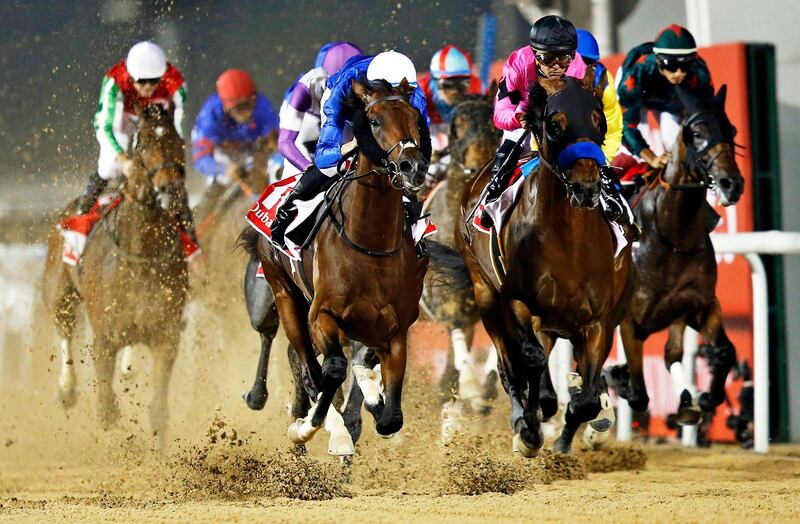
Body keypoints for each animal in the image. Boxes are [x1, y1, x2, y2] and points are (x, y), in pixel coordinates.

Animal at [44, 104, 191, 448]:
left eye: (179, 142)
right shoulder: (103, 339)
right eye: (144, 145)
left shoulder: (166, 335)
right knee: (65, 329)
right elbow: (107, 411)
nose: (171, 190)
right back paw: (67, 389)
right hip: (59, 292)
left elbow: (158, 410)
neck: (141, 254)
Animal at [245, 75, 428, 456]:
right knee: (304, 361)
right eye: (374, 121)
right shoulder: (323, 315)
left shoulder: (395, 330)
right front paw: (315, 427)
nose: (412, 166)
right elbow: (329, 371)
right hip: (285, 294)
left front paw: (371, 397)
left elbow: (390, 418)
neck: (371, 244)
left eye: (415, 120)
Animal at [450, 77, 632, 454]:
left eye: (599, 121)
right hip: (485, 294)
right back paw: (525, 417)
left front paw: (578, 421)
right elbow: (529, 360)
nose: (586, 186)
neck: (568, 241)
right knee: (509, 364)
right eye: (554, 124)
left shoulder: (598, 320)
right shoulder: (517, 301)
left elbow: (586, 399)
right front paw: (530, 429)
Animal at [608, 84, 748, 424]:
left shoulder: (698, 306)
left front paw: (704, 398)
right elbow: (639, 392)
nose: (731, 184)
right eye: (696, 133)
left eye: (731, 130)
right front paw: (618, 377)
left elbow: (722, 350)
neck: (673, 235)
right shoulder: (631, 320)